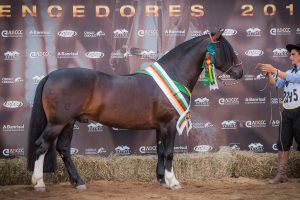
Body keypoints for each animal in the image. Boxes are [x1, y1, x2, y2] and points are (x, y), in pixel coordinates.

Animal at [27, 30, 244, 191]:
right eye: (225, 49)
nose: (240, 72)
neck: (173, 75)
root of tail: (51, 76)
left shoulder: (160, 126)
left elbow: (160, 151)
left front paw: (161, 179)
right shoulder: (170, 124)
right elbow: (169, 152)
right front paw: (173, 182)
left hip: (68, 122)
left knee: (63, 148)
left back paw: (78, 182)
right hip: (57, 122)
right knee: (41, 146)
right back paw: (39, 183)